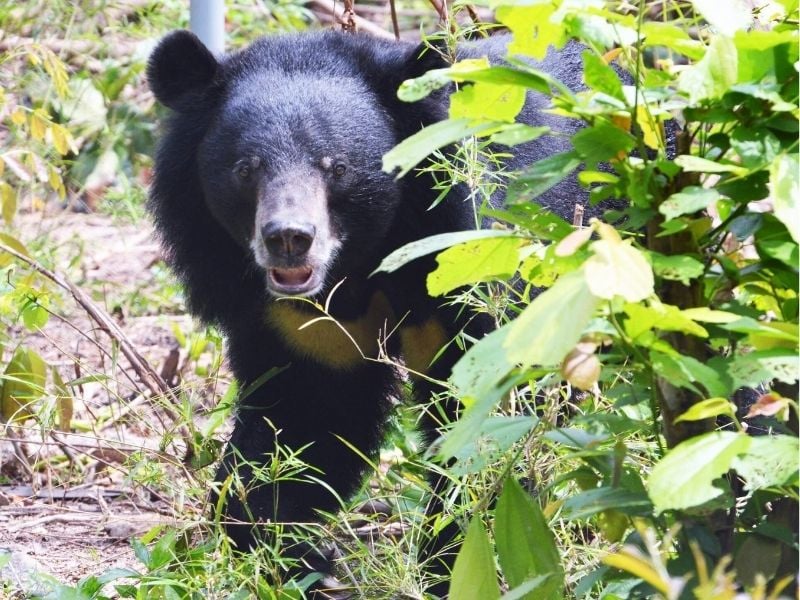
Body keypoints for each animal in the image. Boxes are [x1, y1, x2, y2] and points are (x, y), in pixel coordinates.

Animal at [147, 29, 596, 595]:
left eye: (336, 167)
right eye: (245, 170)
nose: (288, 240)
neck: (362, 261)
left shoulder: (470, 259)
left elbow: (485, 414)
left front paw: (461, 559)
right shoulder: (305, 324)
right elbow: (306, 420)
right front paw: (286, 556)